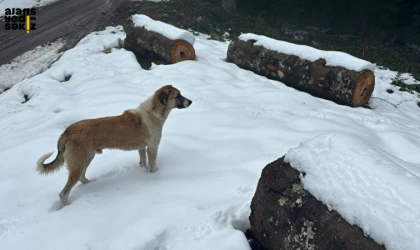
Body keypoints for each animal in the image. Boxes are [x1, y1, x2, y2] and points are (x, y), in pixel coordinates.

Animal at [37, 85, 193, 208]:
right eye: (177, 96)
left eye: (180, 94)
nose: (191, 101)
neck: (154, 111)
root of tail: (67, 132)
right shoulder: (152, 148)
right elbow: (153, 166)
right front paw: (154, 176)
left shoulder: (141, 148)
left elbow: (143, 162)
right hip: (79, 162)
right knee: (63, 193)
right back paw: (66, 207)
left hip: (87, 158)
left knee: (82, 177)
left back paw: (91, 183)